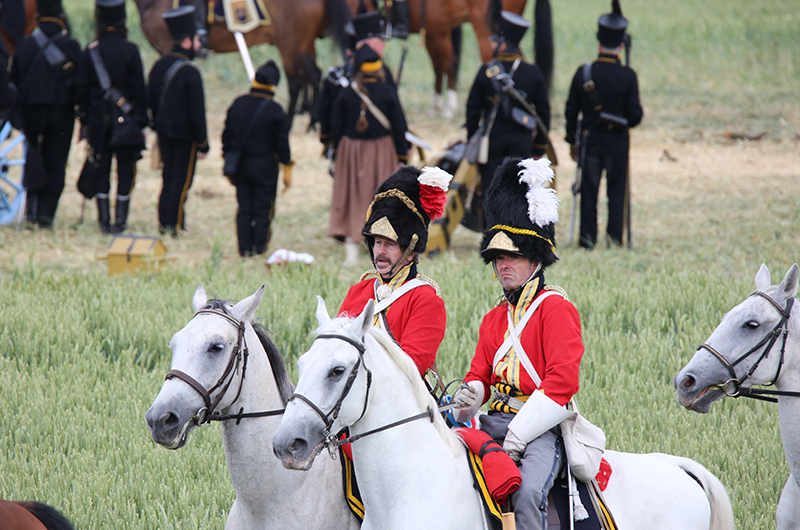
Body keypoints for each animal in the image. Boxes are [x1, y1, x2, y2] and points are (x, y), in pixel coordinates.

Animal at [136, 0, 352, 126]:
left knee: (298, 81)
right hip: (301, 44)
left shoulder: (167, 46)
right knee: (313, 74)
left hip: (290, 44)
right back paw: (312, 120)